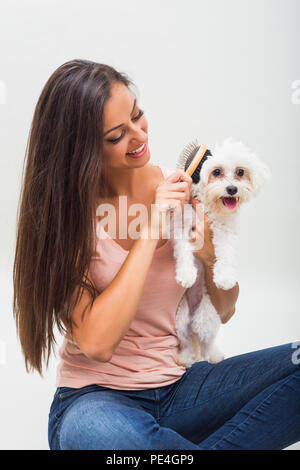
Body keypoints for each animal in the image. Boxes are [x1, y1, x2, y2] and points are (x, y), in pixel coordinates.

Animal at [170, 138, 270, 370]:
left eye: (240, 172)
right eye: (216, 172)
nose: (232, 189)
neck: (210, 207)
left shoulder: (225, 232)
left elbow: (224, 254)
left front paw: (224, 278)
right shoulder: (183, 228)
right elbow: (184, 252)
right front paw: (186, 275)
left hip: (206, 317)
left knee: (207, 343)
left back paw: (214, 356)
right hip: (180, 320)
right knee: (186, 342)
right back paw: (185, 358)